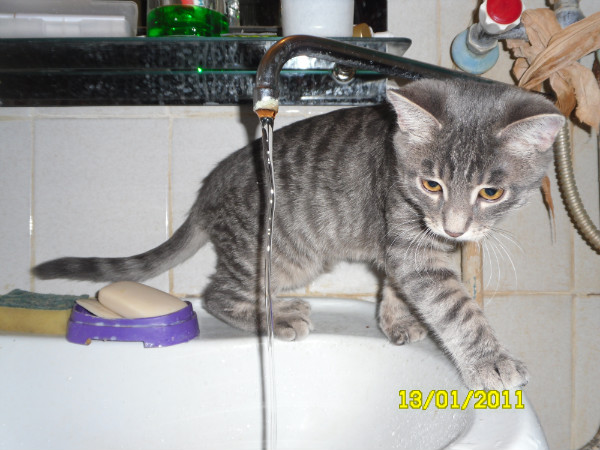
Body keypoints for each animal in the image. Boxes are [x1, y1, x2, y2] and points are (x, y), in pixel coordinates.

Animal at [33, 78, 564, 391]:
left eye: (491, 192)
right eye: (431, 184)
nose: (454, 226)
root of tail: (209, 187)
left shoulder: (408, 247)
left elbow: (399, 288)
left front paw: (398, 320)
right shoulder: (411, 242)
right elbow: (455, 306)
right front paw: (491, 361)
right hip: (285, 254)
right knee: (218, 294)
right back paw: (278, 316)